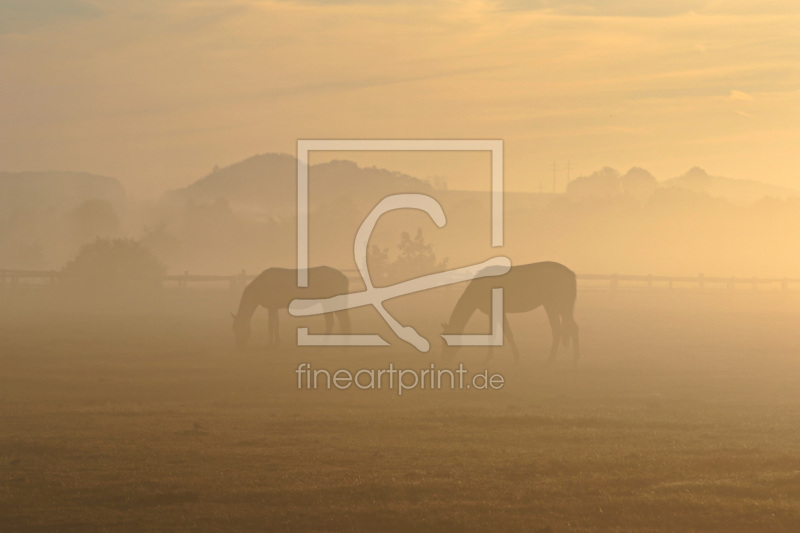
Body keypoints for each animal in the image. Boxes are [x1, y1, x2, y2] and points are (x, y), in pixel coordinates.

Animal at [440, 262, 580, 366]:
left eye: (448, 343)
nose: (444, 360)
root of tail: (571, 274)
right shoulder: (496, 312)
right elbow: (503, 334)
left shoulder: (495, 311)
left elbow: (503, 334)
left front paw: (490, 360)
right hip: (560, 306)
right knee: (566, 328)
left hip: (555, 306)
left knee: (564, 329)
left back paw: (563, 361)